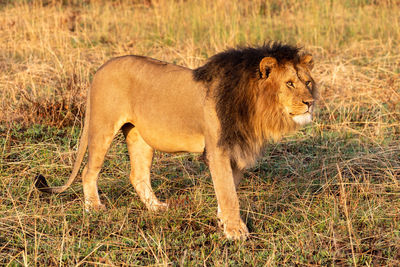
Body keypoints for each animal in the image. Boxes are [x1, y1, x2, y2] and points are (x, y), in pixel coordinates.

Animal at [36, 42, 316, 241]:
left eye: (308, 82)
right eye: (289, 84)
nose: (310, 102)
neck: (255, 107)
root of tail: (102, 67)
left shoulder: (236, 151)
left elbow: (228, 190)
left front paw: (223, 221)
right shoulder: (218, 149)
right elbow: (228, 193)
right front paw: (235, 232)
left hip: (139, 136)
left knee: (137, 175)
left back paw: (156, 207)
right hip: (103, 127)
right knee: (88, 171)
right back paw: (94, 208)